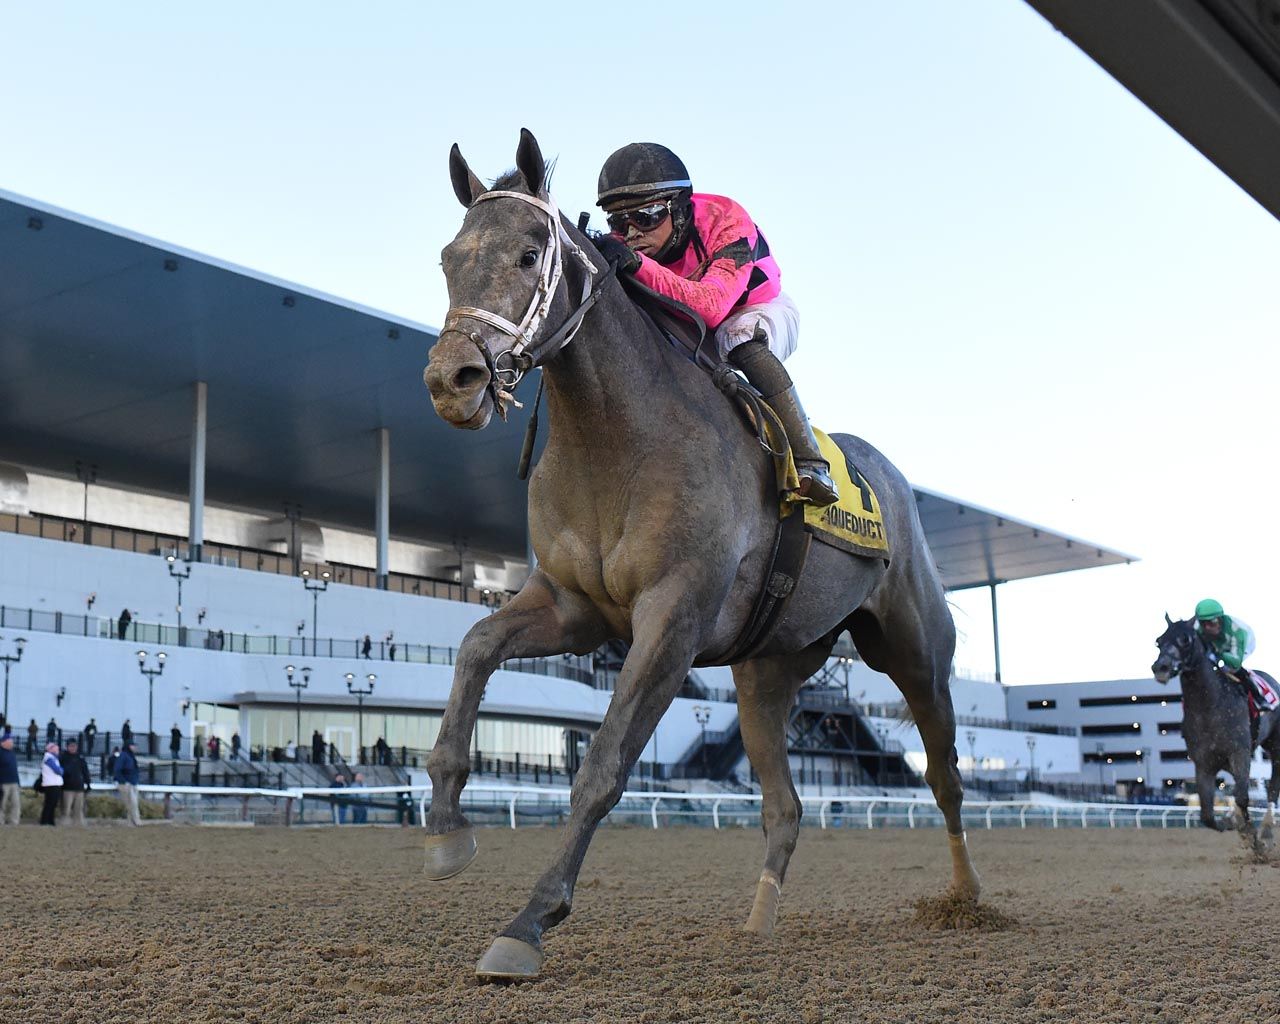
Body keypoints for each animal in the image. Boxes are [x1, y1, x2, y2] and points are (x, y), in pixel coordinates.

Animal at [419, 131, 977, 977]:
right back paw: (759, 920)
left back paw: (968, 902)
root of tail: (888, 476)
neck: (616, 441)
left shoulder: (671, 621)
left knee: (944, 777)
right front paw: (449, 828)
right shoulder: (575, 609)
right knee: (786, 806)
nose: (453, 380)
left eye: (527, 254)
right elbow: (477, 646)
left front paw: (527, 923)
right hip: (766, 673)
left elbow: (603, 767)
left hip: (914, 651)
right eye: (450, 258)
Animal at [1152, 616, 1280, 839]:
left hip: (1275, 746)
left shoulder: (1240, 753)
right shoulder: (1203, 764)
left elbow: (1242, 797)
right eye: (1158, 641)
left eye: (1185, 639)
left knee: (1273, 787)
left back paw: (1265, 830)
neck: (1210, 706)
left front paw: (1250, 834)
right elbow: (1207, 815)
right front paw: (1229, 822)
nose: (1161, 667)